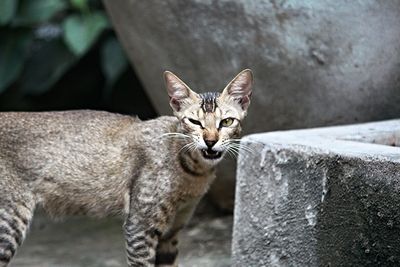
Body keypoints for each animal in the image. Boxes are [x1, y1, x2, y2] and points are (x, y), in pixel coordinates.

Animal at [0, 68, 253, 266]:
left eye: (227, 122)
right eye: (194, 122)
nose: (210, 141)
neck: (193, 174)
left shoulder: (171, 233)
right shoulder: (140, 227)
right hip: (9, 218)